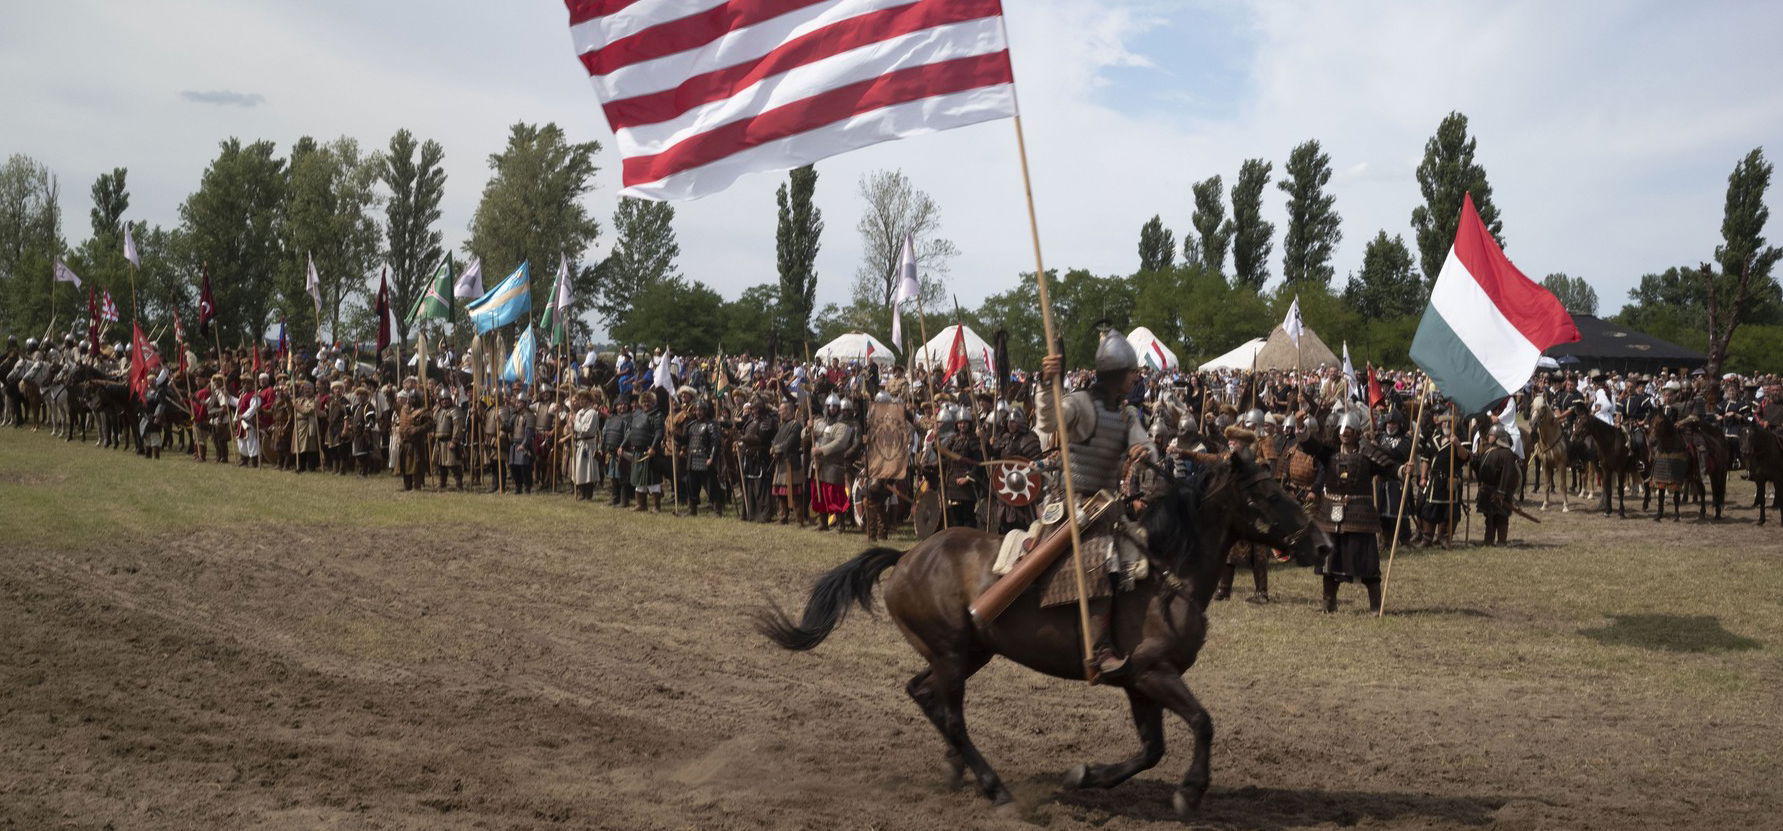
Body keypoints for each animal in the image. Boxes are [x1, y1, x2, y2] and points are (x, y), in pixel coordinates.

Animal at [759, 451, 1333, 813]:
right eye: (1270, 495)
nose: (1324, 546)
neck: (1168, 573)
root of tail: (905, 559)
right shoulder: (1155, 674)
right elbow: (1202, 723)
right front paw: (1189, 793)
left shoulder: (1139, 683)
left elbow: (1152, 749)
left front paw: (1086, 776)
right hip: (952, 656)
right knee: (952, 714)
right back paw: (993, 786)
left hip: (966, 654)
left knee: (923, 694)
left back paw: (956, 771)